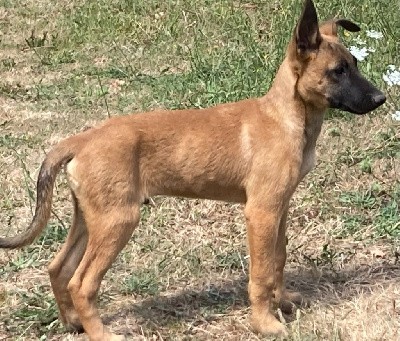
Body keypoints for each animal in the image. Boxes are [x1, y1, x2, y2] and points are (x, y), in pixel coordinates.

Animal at [0, 1, 388, 338]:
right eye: (338, 71)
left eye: (355, 63)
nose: (381, 99)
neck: (285, 117)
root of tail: (81, 140)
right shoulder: (261, 212)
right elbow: (261, 272)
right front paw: (265, 323)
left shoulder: (279, 208)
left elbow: (278, 258)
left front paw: (284, 301)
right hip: (118, 221)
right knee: (81, 283)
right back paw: (102, 334)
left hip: (90, 217)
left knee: (58, 268)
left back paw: (73, 324)